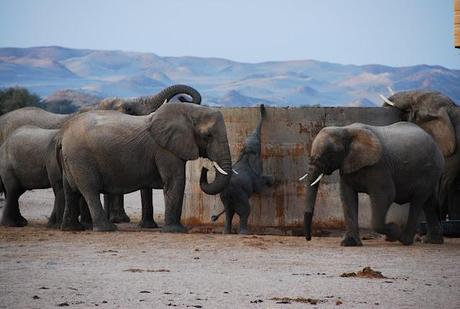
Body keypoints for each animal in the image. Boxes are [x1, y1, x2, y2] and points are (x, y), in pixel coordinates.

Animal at [59, 102, 232, 232]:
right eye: (207, 136)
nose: (206, 169)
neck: (190, 109)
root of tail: (63, 134)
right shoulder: (164, 150)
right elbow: (176, 181)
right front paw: (176, 231)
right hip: (81, 159)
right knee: (90, 190)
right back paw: (107, 228)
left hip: (72, 159)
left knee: (70, 190)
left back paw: (71, 228)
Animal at [211, 104, 274, 233]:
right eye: (259, 148)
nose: (262, 106)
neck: (245, 153)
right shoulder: (254, 175)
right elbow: (259, 188)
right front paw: (273, 180)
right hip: (239, 194)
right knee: (244, 211)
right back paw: (245, 233)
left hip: (225, 198)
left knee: (229, 213)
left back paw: (227, 233)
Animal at [302, 121, 446, 244]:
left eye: (330, 154)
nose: (308, 239)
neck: (345, 130)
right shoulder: (346, 164)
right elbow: (347, 197)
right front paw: (349, 243)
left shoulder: (379, 166)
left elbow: (386, 195)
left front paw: (394, 231)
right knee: (429, 203)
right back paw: (432, 241)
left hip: (428, 171)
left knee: (418, 201)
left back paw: (404, 240)